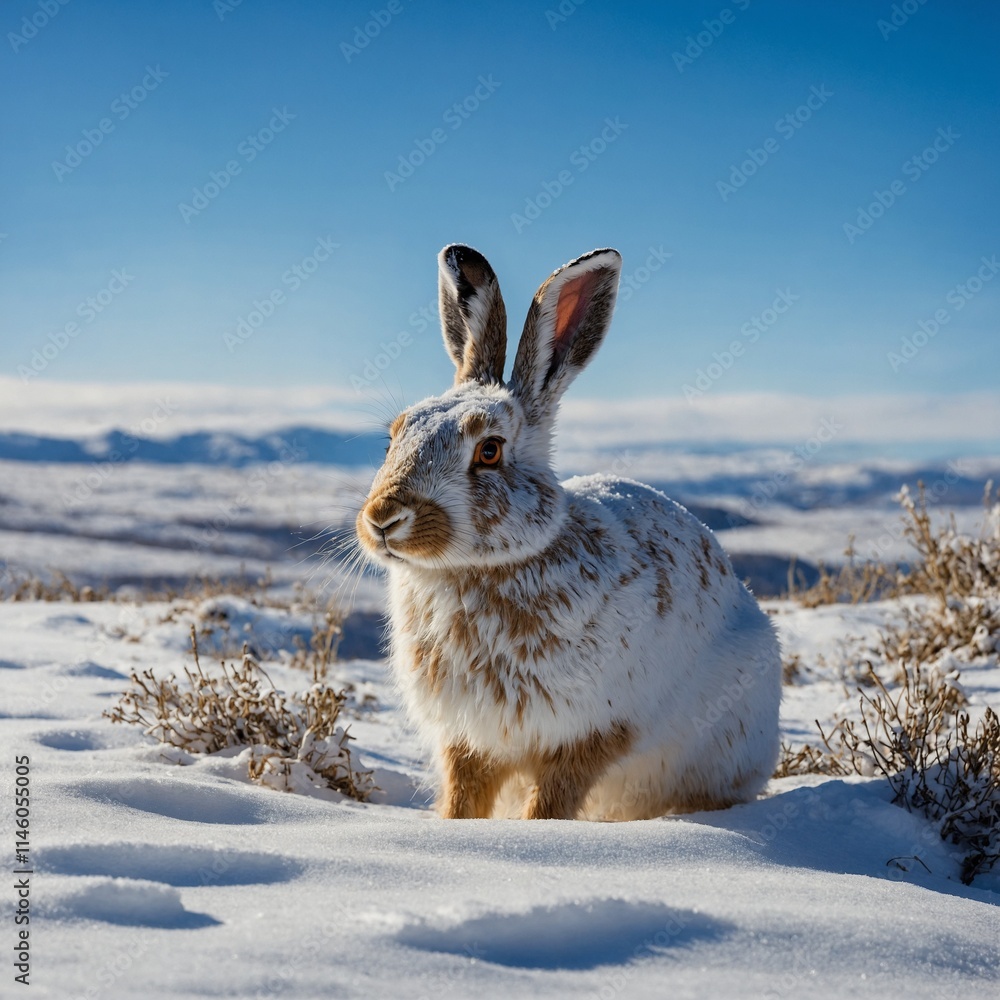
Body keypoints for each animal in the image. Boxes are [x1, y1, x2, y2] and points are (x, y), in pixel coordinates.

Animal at [355, 244, 781, 821]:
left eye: (489, 451)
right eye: (393, 437)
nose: (383, 518)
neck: (478, 570)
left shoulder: (589, 732)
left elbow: (553, 799)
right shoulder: (468, 739)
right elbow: (464, 793)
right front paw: (452, 825)